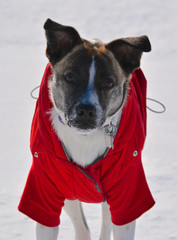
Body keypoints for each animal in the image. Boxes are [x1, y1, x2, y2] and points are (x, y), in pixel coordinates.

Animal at [17, 17, 155, 239]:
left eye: (108, 82)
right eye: (70, 77)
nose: (86, 110)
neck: (84, 139)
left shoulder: (126, 192)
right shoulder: (45, 189)